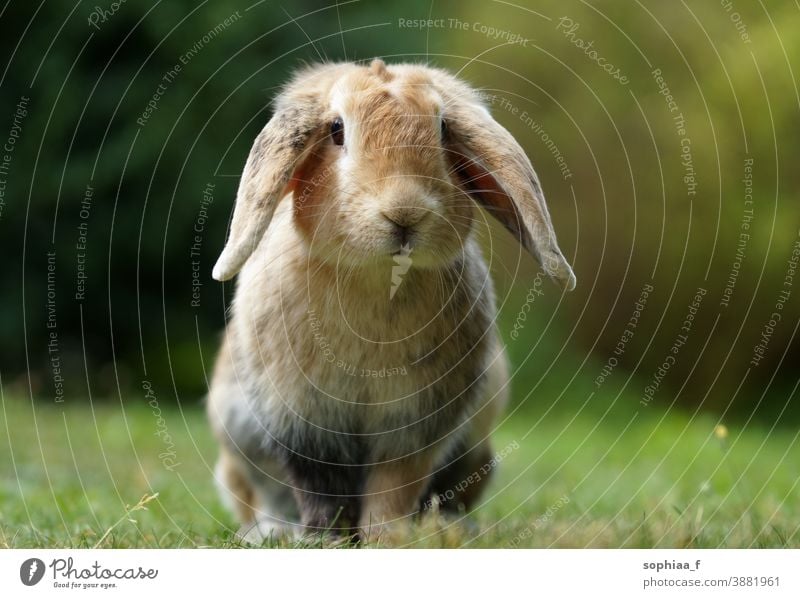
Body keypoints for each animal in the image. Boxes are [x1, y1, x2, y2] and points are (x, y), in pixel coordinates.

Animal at [206, 59, 576, 544]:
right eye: (337, 130)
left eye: (442, 128)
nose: (404, 213)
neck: (379, 278)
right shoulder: (303, 418)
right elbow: (321, 488)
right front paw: (326, 539)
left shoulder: (416, 423)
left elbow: (394, 485)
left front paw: (389, 538)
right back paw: (270, 533)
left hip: (476, 454)